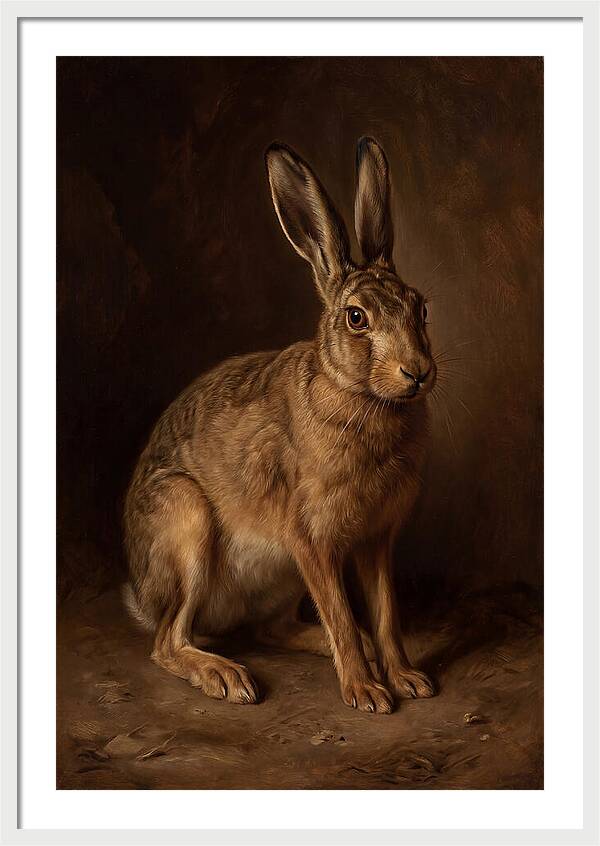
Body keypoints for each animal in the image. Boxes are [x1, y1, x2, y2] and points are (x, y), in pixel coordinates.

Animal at [123, 137, 436, 713]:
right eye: (356, 318)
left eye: (420, 308)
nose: (418, 372)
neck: (360, 396)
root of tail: (142, 593)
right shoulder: (310, 539)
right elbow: (340, 613)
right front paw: (367, 693)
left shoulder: (375, 540)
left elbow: (385, 615)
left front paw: (406, 678)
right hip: (186, 521)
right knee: (168, 641)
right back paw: (226, 677)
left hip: (280, 579)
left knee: (273, 630)